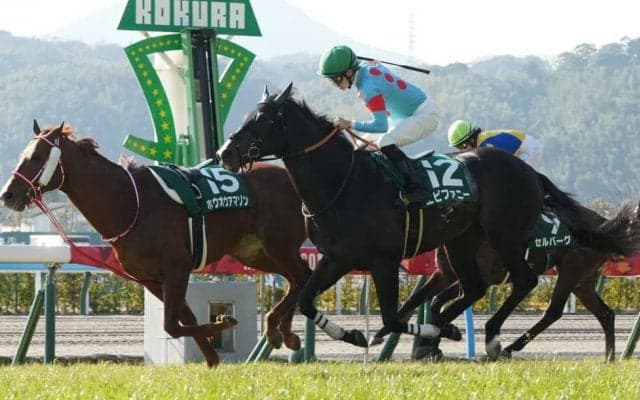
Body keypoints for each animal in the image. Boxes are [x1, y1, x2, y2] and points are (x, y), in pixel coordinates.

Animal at [1, 121, 311, 367]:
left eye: (36, 156)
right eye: (24, 155)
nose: (8, 194)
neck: (131, 203)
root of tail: (291, 177)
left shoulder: (177, 268)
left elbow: (172, 325)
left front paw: (223, 324)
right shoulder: (150, 278)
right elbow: (185, 320)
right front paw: (213, 353)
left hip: (278, 244)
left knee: (302, 275)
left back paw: (276, 328)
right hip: (254, 251)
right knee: (297, 278)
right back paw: (283, 332)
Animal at [372, 201, 640, 362]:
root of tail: (604, 223)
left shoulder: (480, 278)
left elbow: (437, 301)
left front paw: (434, 342)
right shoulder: (446, 274)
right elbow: (421, 299)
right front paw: (426, 343)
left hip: (571, 269)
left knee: (553, 311)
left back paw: (509, 348)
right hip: (583, 280)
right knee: (605, 314)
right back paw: (609, 357)